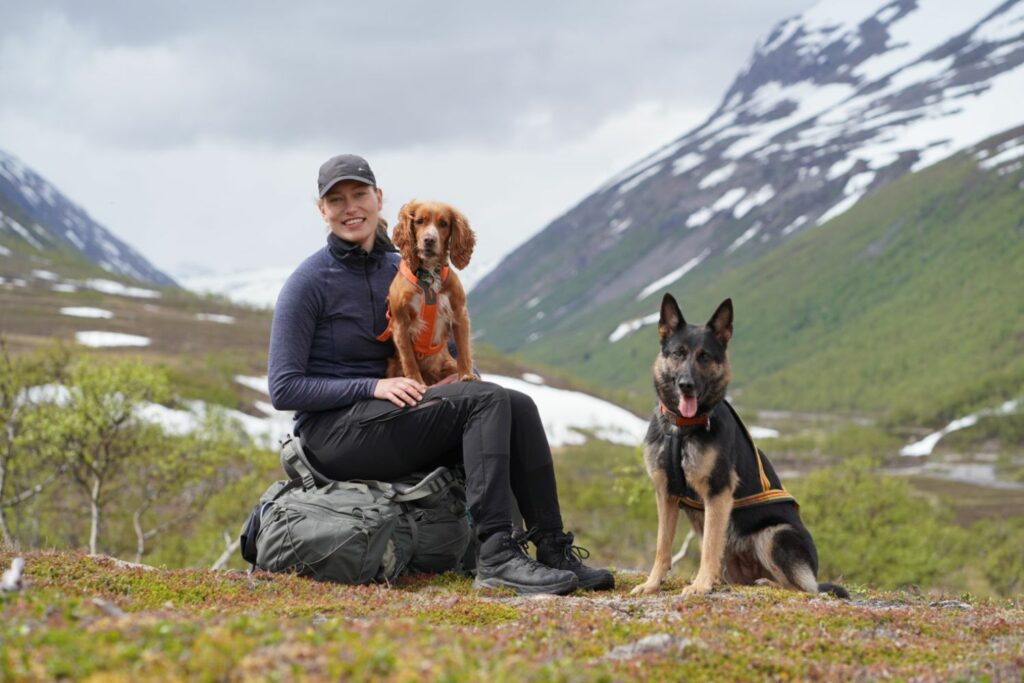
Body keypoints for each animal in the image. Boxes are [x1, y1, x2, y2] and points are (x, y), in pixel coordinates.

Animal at [630, 294, 847, 598]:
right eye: (678, 353)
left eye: (705, 356)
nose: (686, 385)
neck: (683, 429)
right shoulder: (666, 494)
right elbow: (663, 547)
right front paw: (652, 584)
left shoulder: (718, 492)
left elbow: (710, 547)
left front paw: (700, 585)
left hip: (774, 534)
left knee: (804, 589)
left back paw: (767, 583)